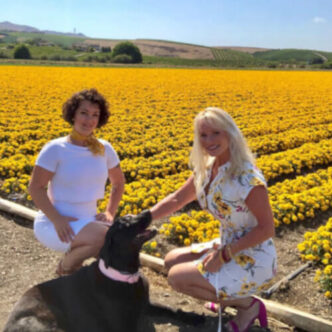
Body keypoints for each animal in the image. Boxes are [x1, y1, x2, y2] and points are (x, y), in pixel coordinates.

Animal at [3, 211, 204, 330]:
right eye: (125, 223)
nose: (149, 211)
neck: (125, 275)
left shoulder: (145, 303)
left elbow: (171, 309)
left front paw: (193, 317)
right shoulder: (123, 323)